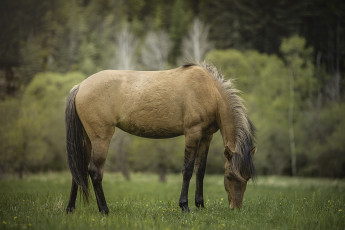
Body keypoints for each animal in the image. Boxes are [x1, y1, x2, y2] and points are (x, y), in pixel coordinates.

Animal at [64, 62, 255, 213]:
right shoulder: (192, 133)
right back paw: (104, 209)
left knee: (78, 170)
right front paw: (184, 206)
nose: (236, 207)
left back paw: (70, 208)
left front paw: (200, 205)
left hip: (86, 139)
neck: (209, 91)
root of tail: (80, 86)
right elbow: (187, 170)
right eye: (229, 176)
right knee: (95, 172)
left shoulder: (206, 136)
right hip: (101, 138)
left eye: (246, 178)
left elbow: (200, 171)